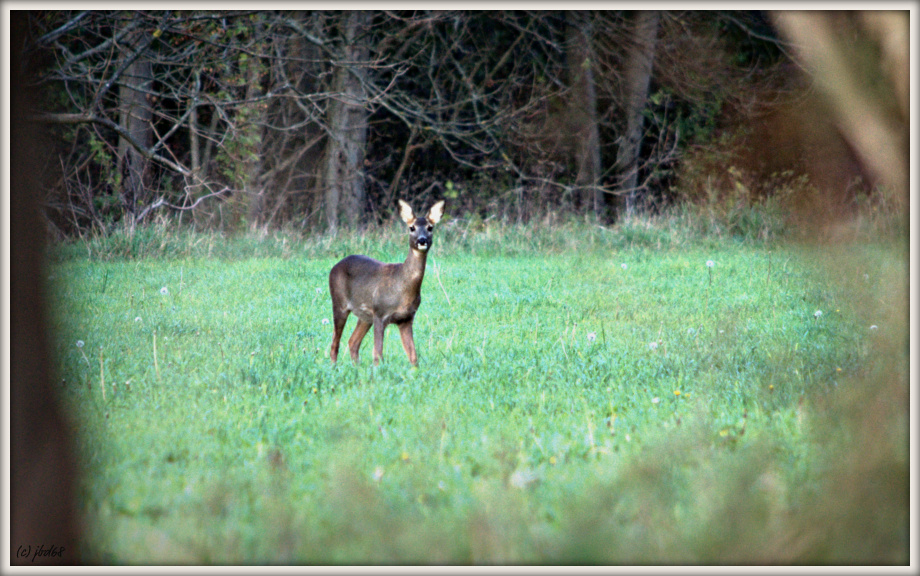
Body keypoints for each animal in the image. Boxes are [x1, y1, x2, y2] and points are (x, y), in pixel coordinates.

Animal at [330, 200, 446, 366]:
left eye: (430, 227)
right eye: (412, 227)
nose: (422, 240)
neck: (402, 287)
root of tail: (335, 267)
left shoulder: (406, 319)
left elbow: (413, 356)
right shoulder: (380, 313)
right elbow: (378, 354)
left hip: (365, 315)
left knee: (353, 342)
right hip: (339, 303)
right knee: (335, 342)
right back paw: (333, 367)